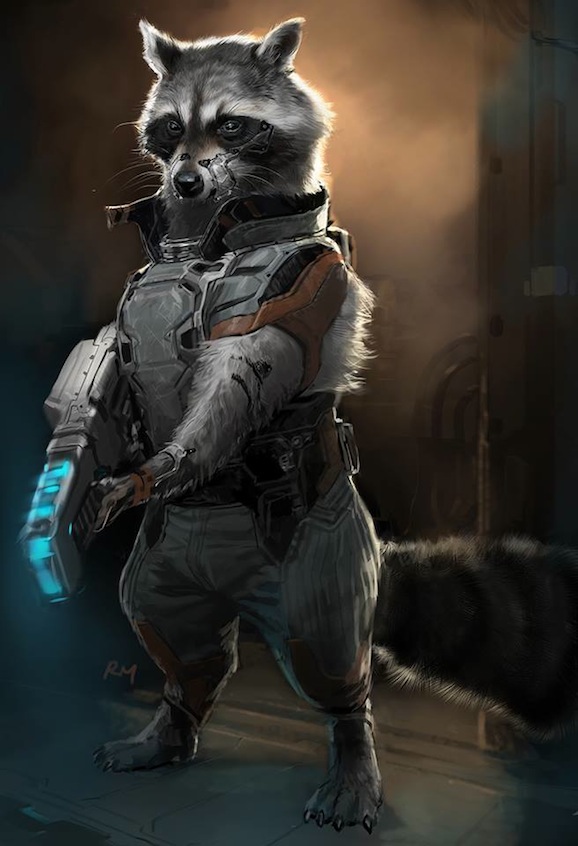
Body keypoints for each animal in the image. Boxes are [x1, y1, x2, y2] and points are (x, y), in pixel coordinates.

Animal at [90, 17, 578, 836]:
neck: (211, 234)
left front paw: (175, 459)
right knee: (174, 632)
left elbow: (240, 374)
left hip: (318, 559)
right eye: (170, 127)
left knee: (326, 649)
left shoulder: (302, 282)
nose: (185, 182)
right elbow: (117, 369)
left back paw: (351, 752)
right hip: (166, 561)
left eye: (232, 125)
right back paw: (175, 719)